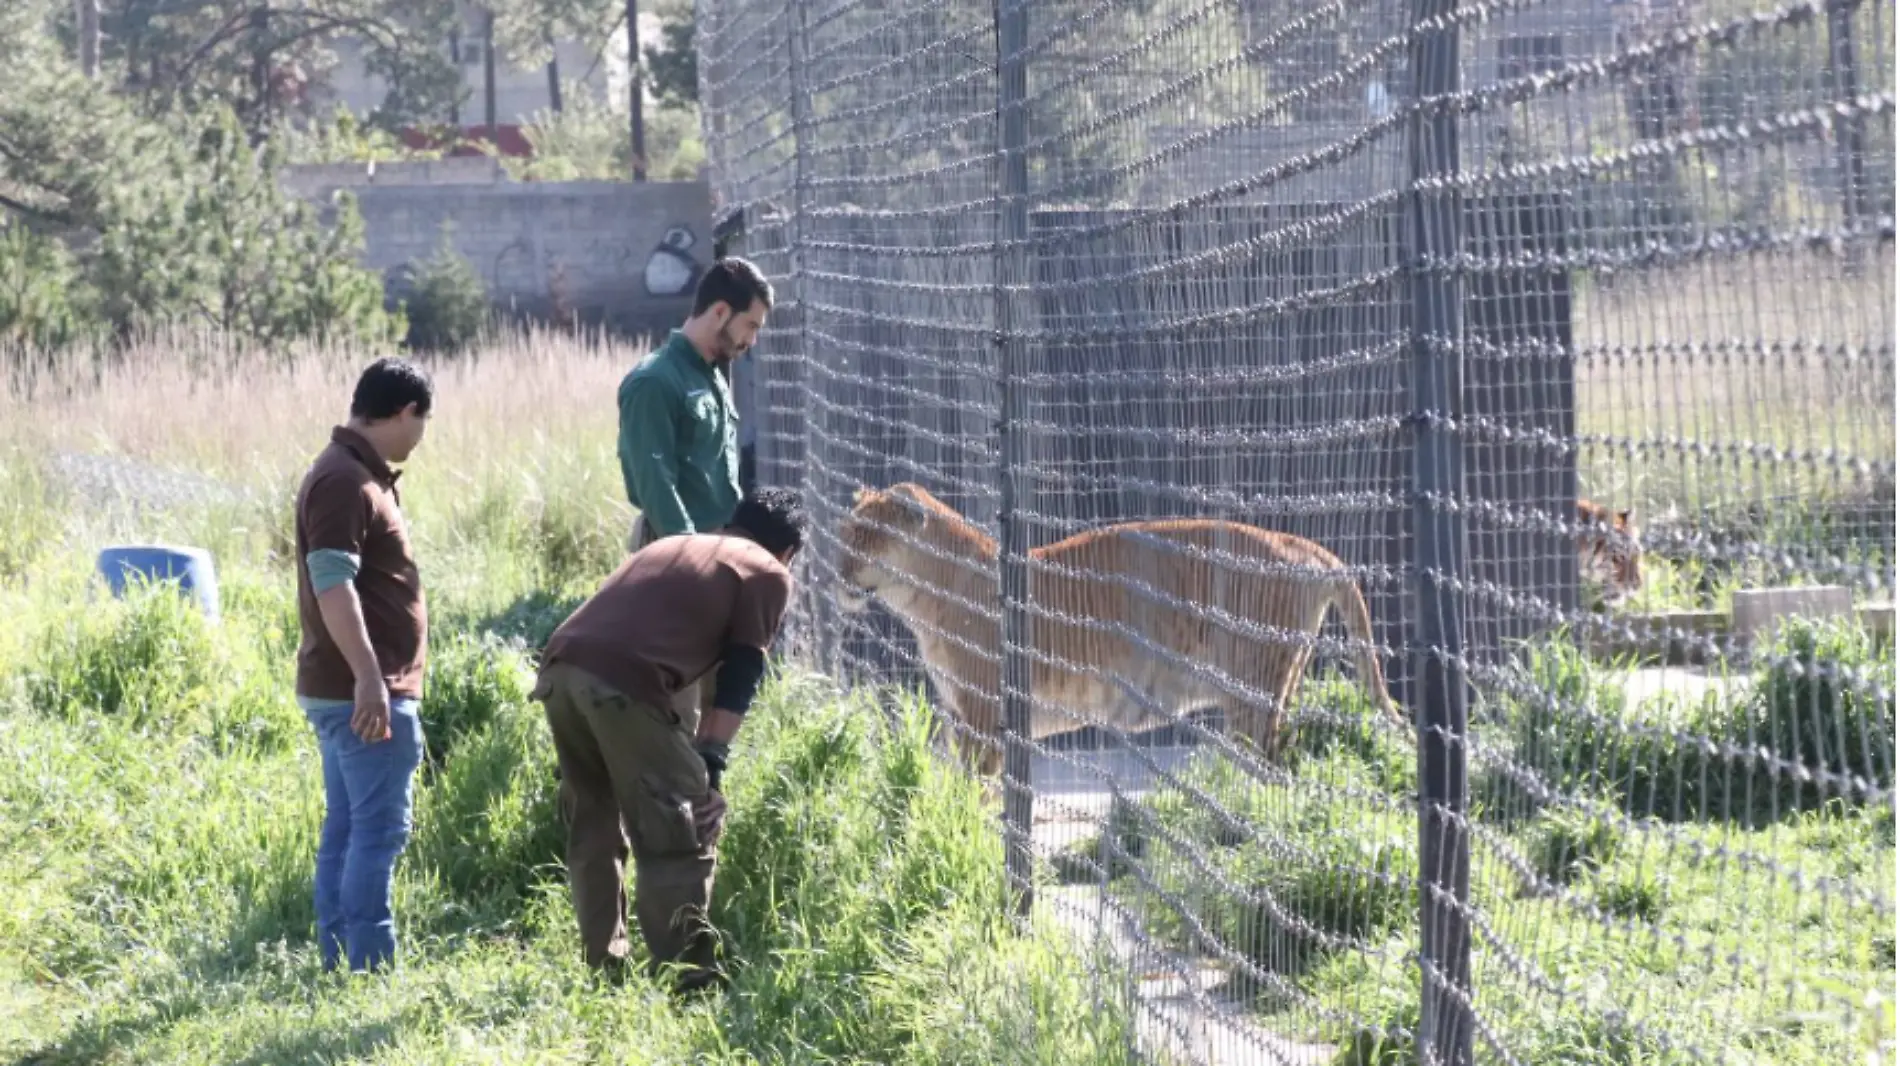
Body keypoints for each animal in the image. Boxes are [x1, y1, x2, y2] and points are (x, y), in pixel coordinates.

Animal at [832, 482, 1413, 771]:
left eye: (865, 535)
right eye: (846, 531)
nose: (835, 570)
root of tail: (1307, 547)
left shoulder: (984, 714)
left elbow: (982, 793)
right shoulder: (959, 714)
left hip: (1252, 688)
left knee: (1268, 769)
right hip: (1278, 686)